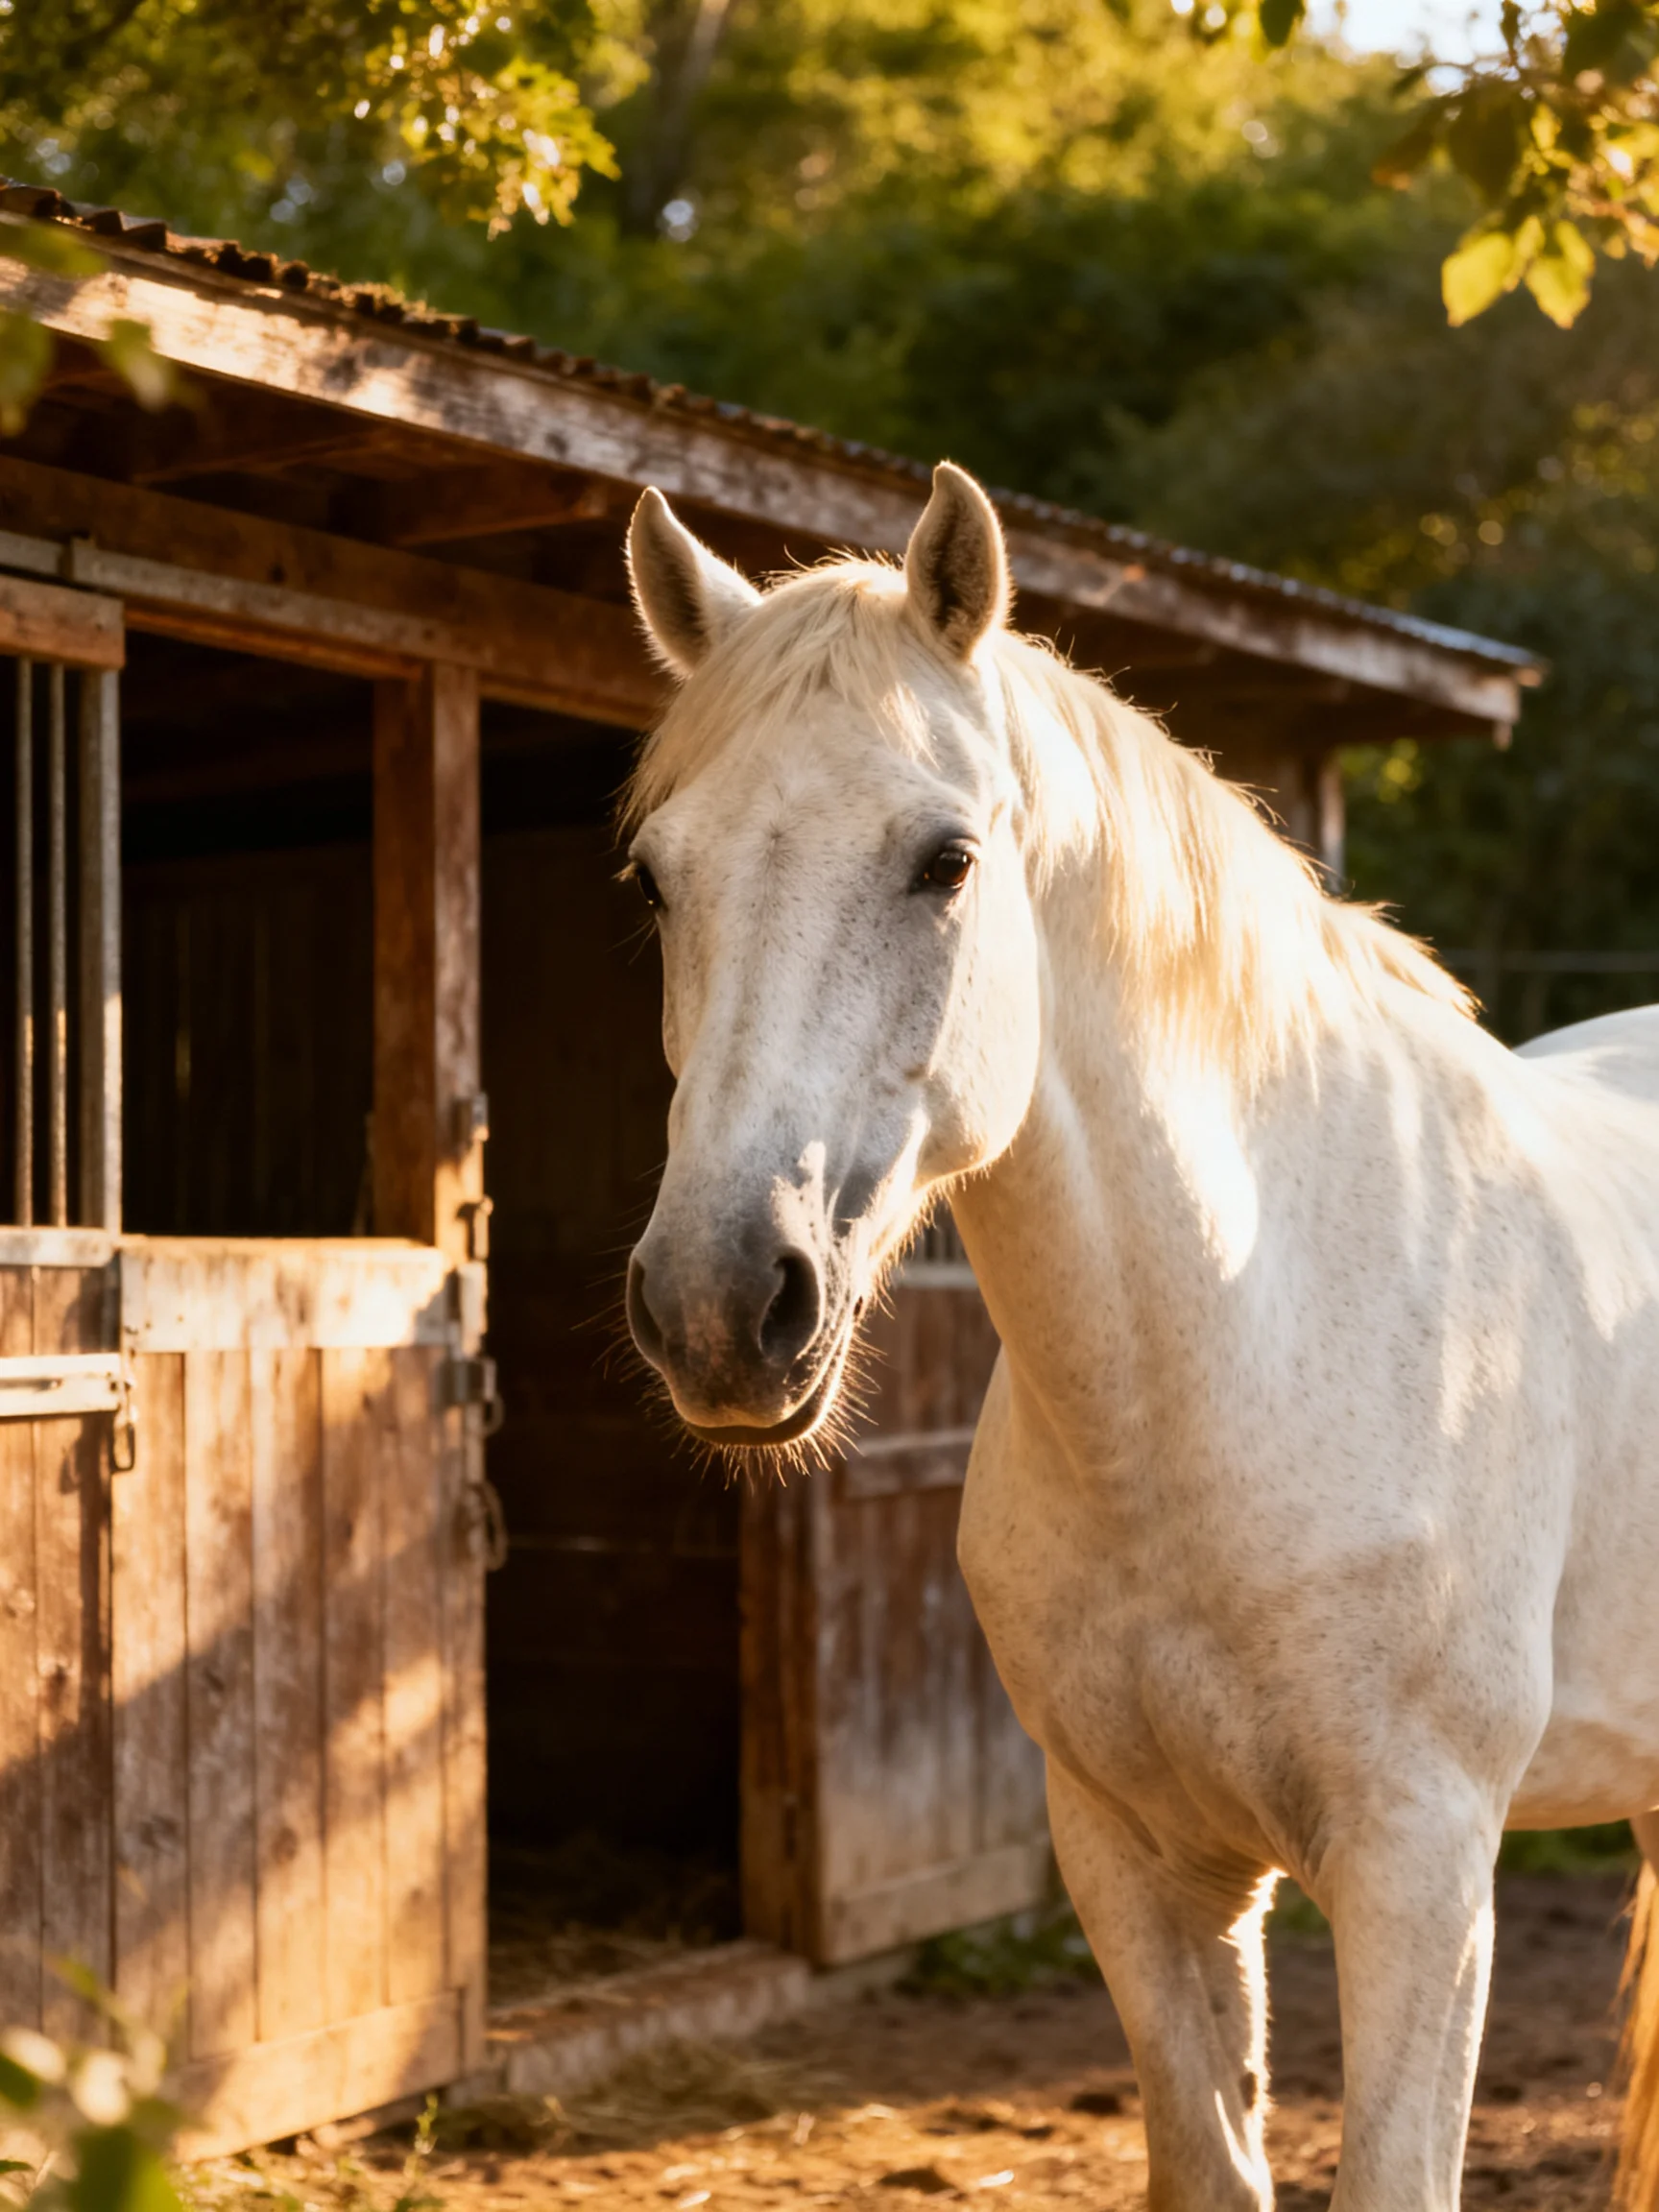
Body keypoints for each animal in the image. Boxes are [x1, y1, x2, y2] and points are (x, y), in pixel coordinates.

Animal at [617, 459, 1659, 2211]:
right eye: (654, 876)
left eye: (945, 859)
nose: (718, 1302)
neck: (1225, 1357)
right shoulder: (1133, 1856)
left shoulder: (1421, 1869)